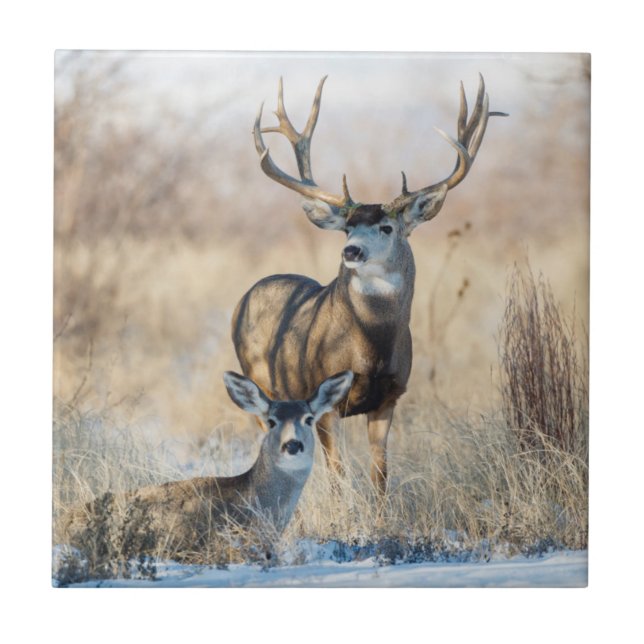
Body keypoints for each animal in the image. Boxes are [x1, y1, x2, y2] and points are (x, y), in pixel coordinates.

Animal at [232, 74, 506, 494]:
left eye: (386, 227)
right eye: (347, 227)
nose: (352, 251)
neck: (371, 347)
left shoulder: (389, 397)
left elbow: (380, 475)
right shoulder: (325, 400)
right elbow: (338, 475)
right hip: (261, 382)